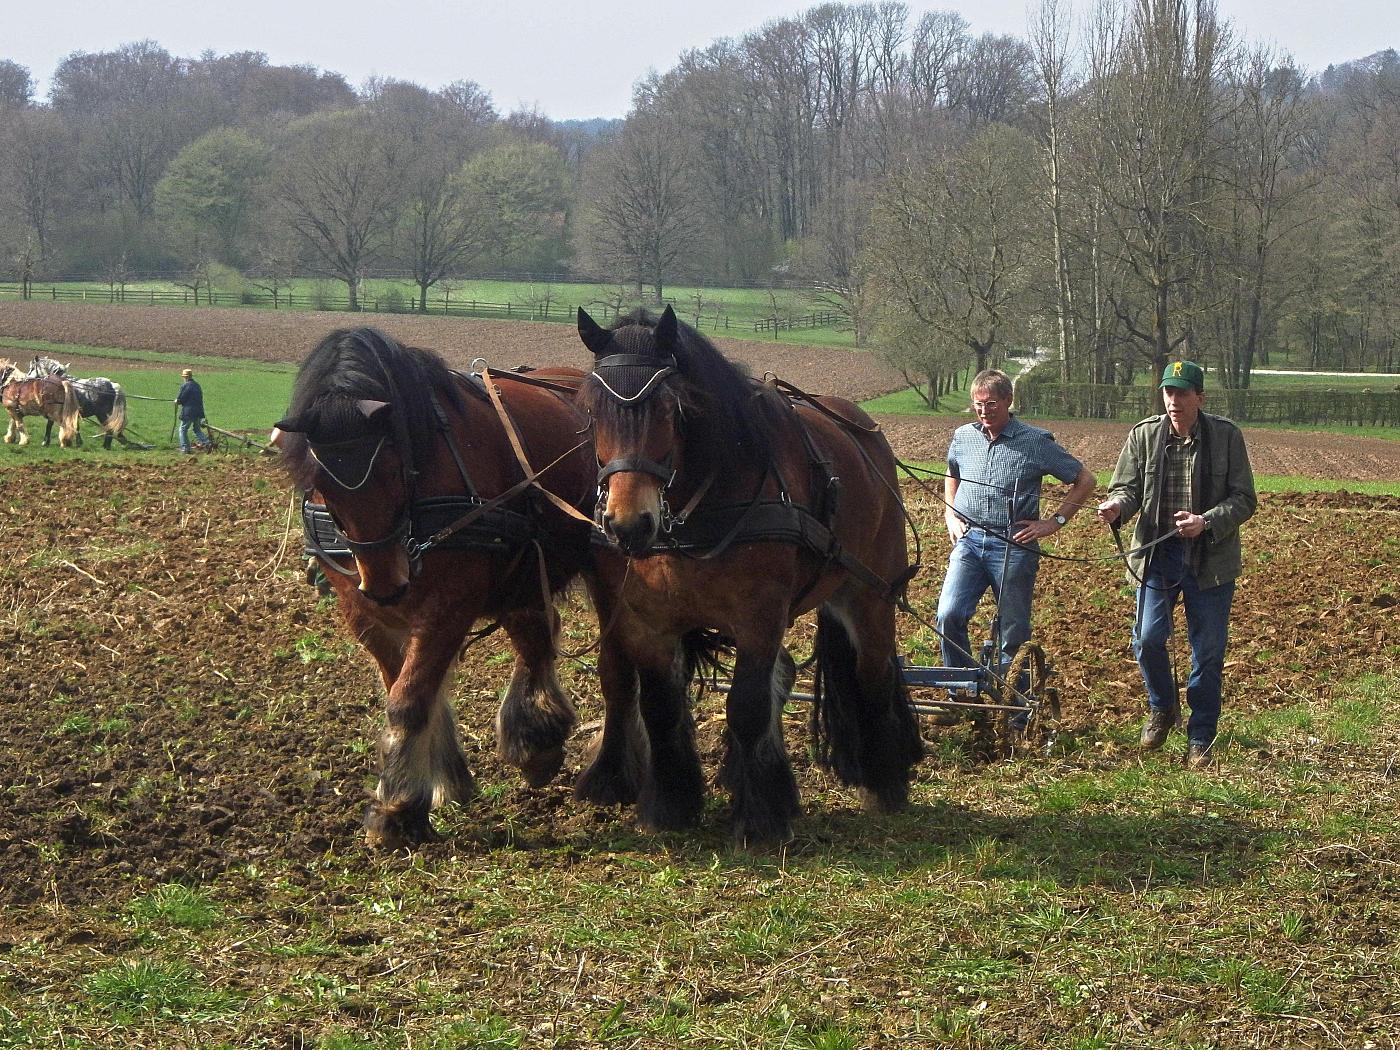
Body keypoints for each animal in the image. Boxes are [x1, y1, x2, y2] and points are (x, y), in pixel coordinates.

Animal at [273, 324, 607, 851]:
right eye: (320, 478)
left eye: (394, 466)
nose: (386, 583)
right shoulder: (365, 612)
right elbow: (411, 689)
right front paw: (440, 782)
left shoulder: (449, 604)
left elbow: (409, 700)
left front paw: (395, 809)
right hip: (524, 572)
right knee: (535, 634)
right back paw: (535, 737)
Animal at [574, 306, 924, 845]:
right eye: (593, 411)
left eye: (670, 409)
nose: (628, 524)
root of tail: (867, 434)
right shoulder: (649, 622)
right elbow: (660, 707)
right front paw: (669, 806)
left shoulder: (760, 615)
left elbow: (747, 705)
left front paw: (758, 819)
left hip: (870, 594)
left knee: (875, 671)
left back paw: (884, 781)